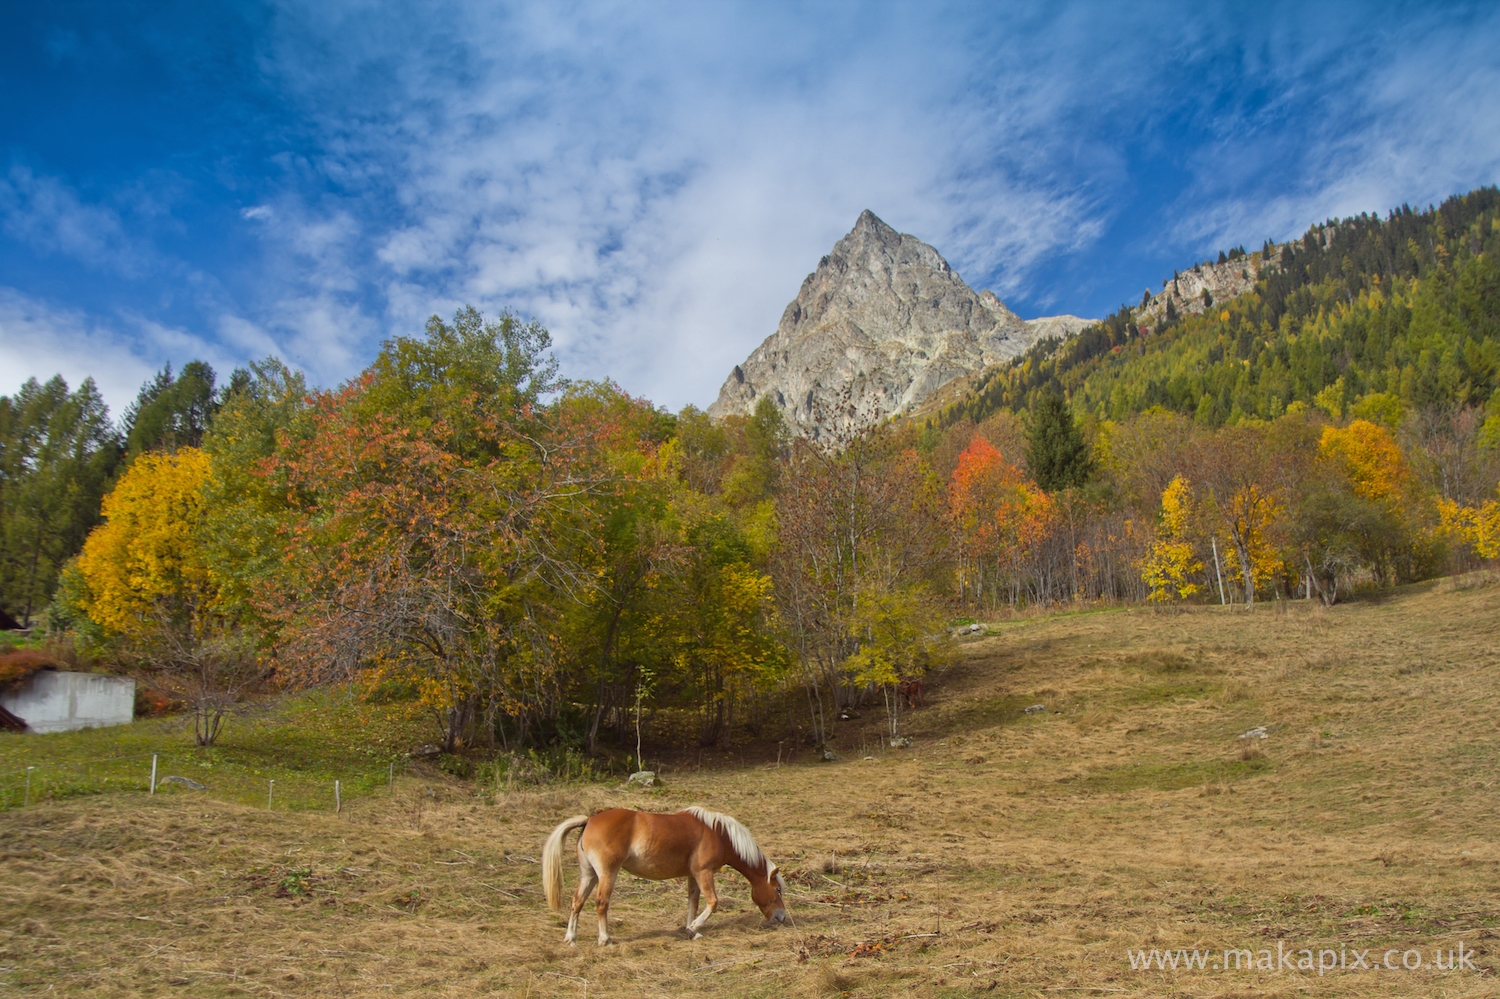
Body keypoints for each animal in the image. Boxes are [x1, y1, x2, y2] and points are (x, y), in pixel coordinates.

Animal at [546, 804, 792, 942]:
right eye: (777, 890)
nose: (781, 917)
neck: (719, 834)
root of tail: (588, 821)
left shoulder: (693, 876)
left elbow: (693, 903)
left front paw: (692, 931)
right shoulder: (704, 873)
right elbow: (712, 903)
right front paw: (694, 927)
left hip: (589, 875)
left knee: (577, 902)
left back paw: (571, 937)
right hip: (607, 874)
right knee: (601, 903)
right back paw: (604, 938)